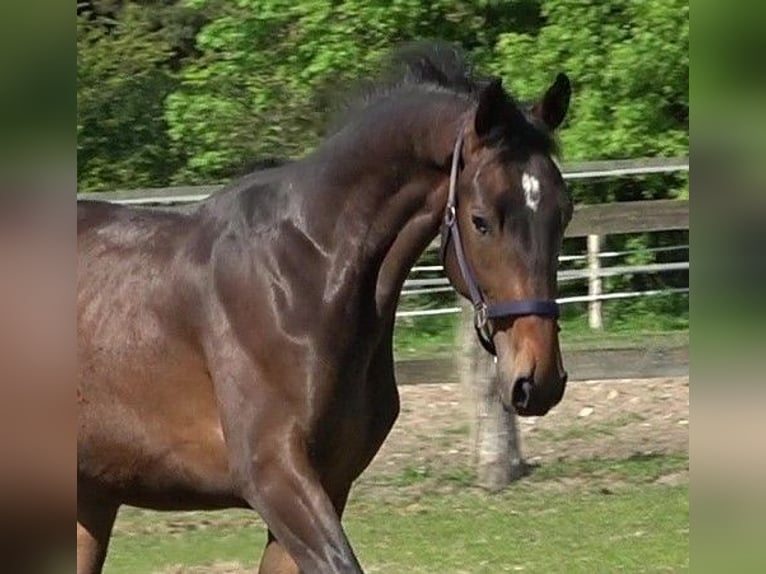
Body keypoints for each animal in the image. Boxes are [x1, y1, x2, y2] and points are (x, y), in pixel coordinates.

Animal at [78, 46, 572, 574]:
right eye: (481, 221)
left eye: (563, 213)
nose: (538, 379)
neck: (305, 279)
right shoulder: (274, 476)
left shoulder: (330, 483)